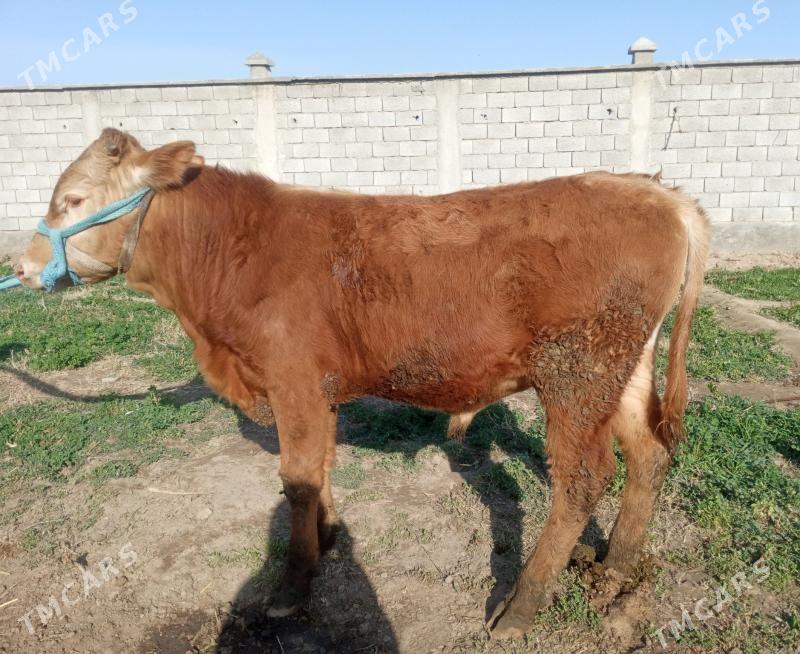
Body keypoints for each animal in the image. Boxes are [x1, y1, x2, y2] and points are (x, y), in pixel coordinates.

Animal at [14, 128, 709, 639]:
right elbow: (318, 468)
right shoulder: (315, 390)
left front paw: (291, 585)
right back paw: (615, 568)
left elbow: (296, 478)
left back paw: (520, 608)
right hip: (622, 368)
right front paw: (326, 539)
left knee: (583, 477)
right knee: (648, 452)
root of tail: (654, 193)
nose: (19, 266)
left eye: (73, 201)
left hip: (577, 372)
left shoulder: (292, 380)